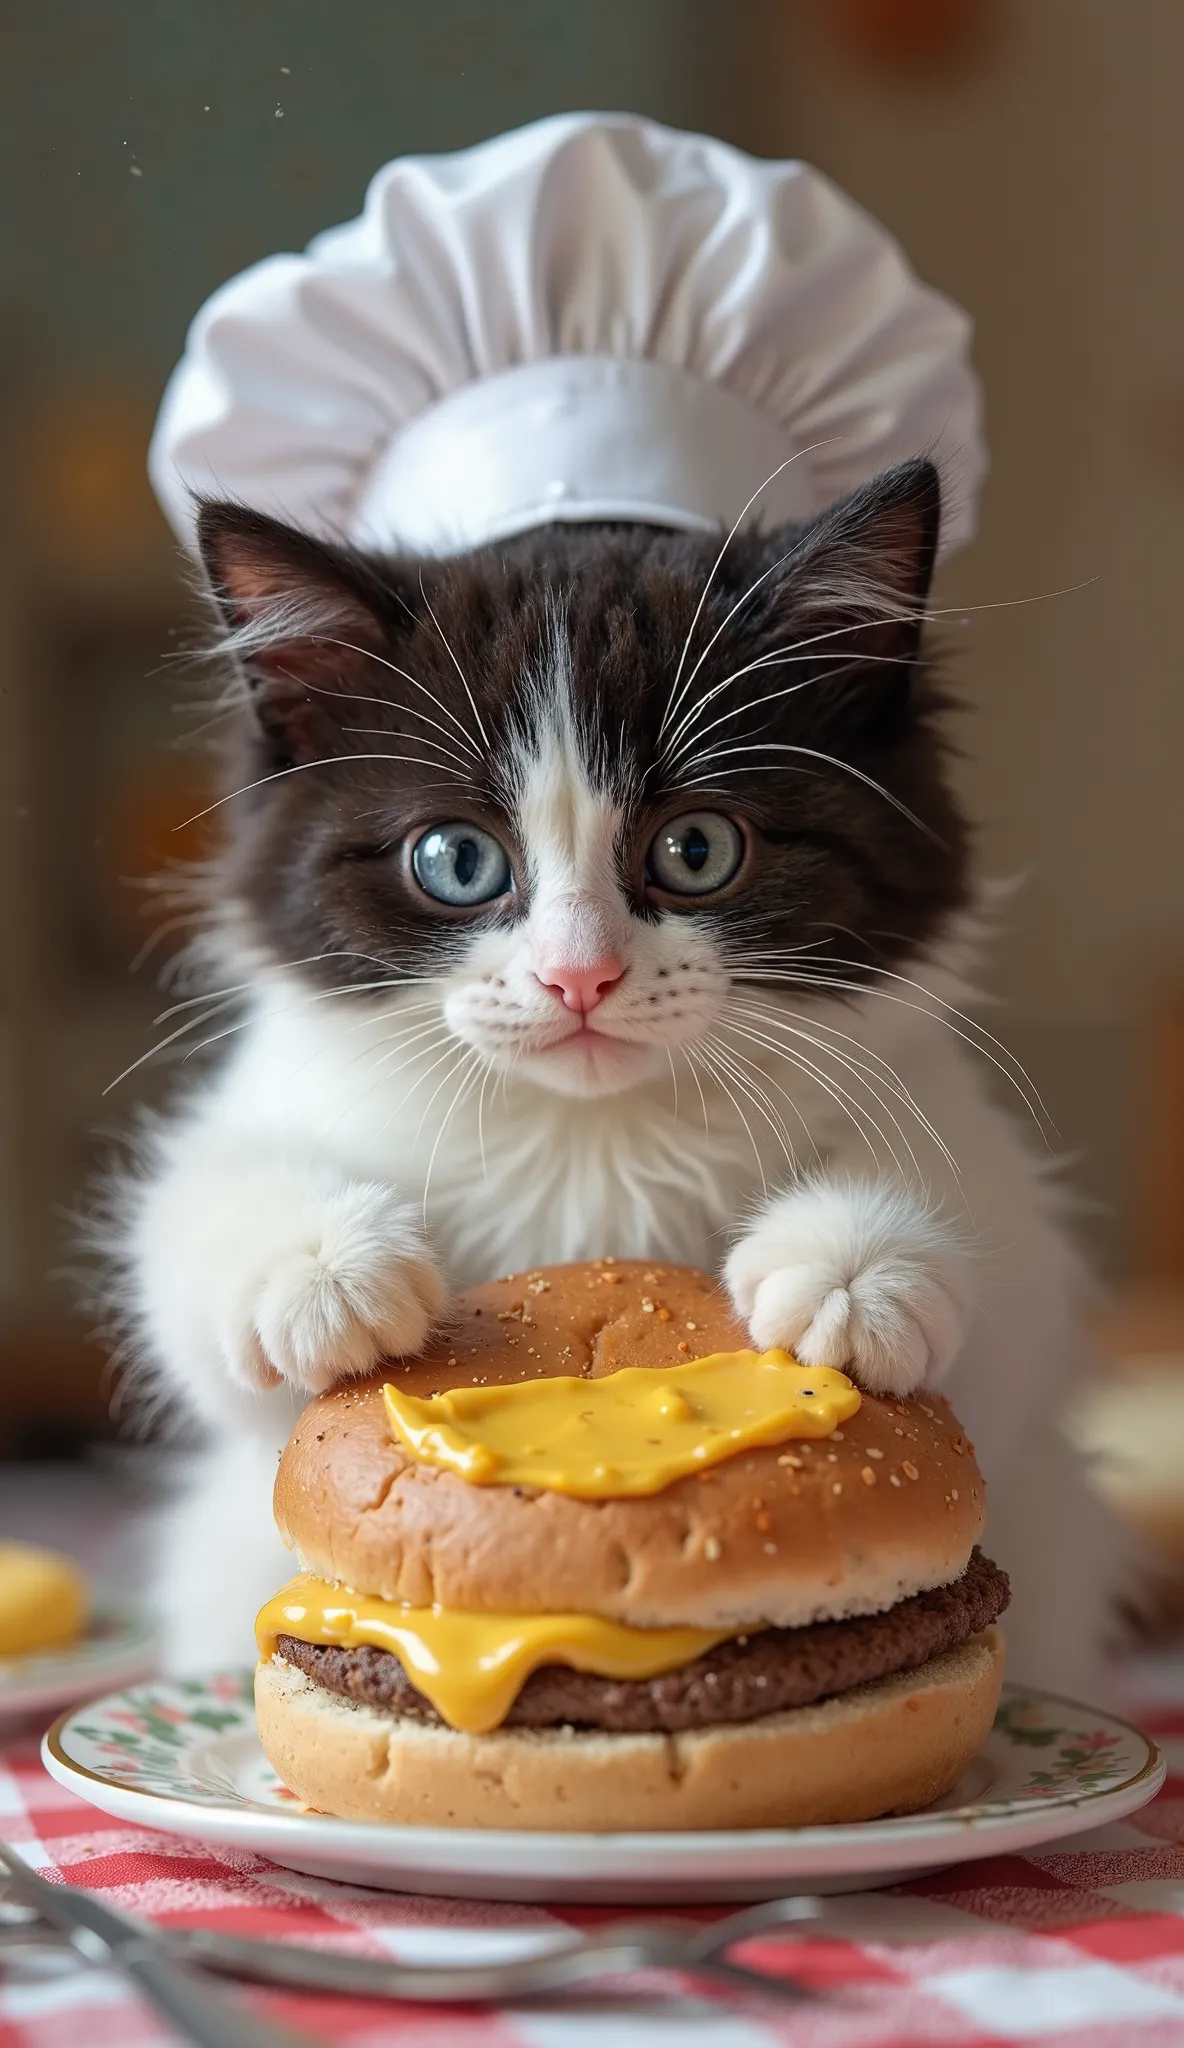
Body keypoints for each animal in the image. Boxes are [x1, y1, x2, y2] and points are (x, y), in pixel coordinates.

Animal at [117, 464, 1106, 1695]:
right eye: (455, 859)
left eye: (696, 850)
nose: (577, 974)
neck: (592, 1134)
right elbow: (198, 1223)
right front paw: (324, 1273)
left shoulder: (950, 1133)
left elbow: (995, 1241)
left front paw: (852, 1273)